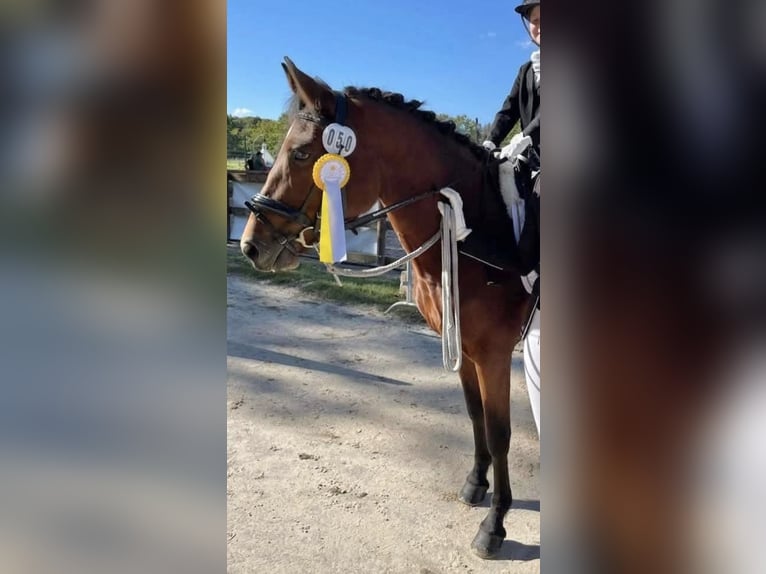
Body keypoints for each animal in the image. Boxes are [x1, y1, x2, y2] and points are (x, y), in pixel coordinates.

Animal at [239, 57, 535, 559]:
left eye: (300, 154)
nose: (251, 246)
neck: (472, 227)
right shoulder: (463, 346)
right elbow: (475, 415)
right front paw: (476, 484)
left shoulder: (493, 354)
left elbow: (500, 433)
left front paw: (494, 525)